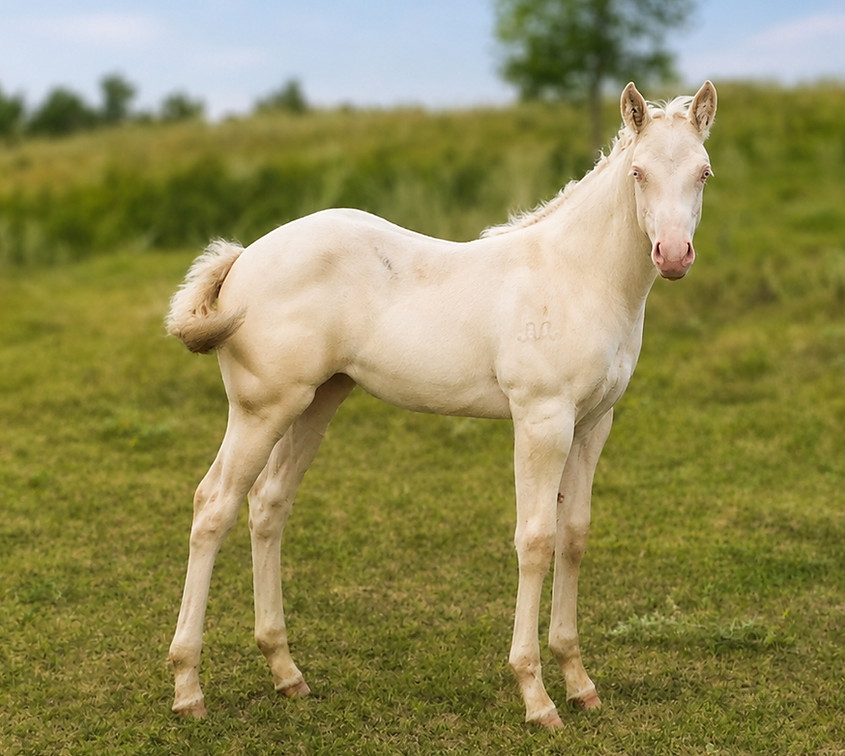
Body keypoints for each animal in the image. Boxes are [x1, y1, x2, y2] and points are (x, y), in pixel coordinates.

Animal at [165, 81, 717, 729]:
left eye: (703, 172)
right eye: (638, 172)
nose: (673, 255)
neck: (578, 277)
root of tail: (244, 257)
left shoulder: (592, 425)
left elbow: (574, 536)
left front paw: (579, 682)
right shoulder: (542, 420)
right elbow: (536, 540)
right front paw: (536, 697)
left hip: (316, 402)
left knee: (268, 506)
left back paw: (286, 673)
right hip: (263, 409)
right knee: (214, 505)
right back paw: (188, 688)